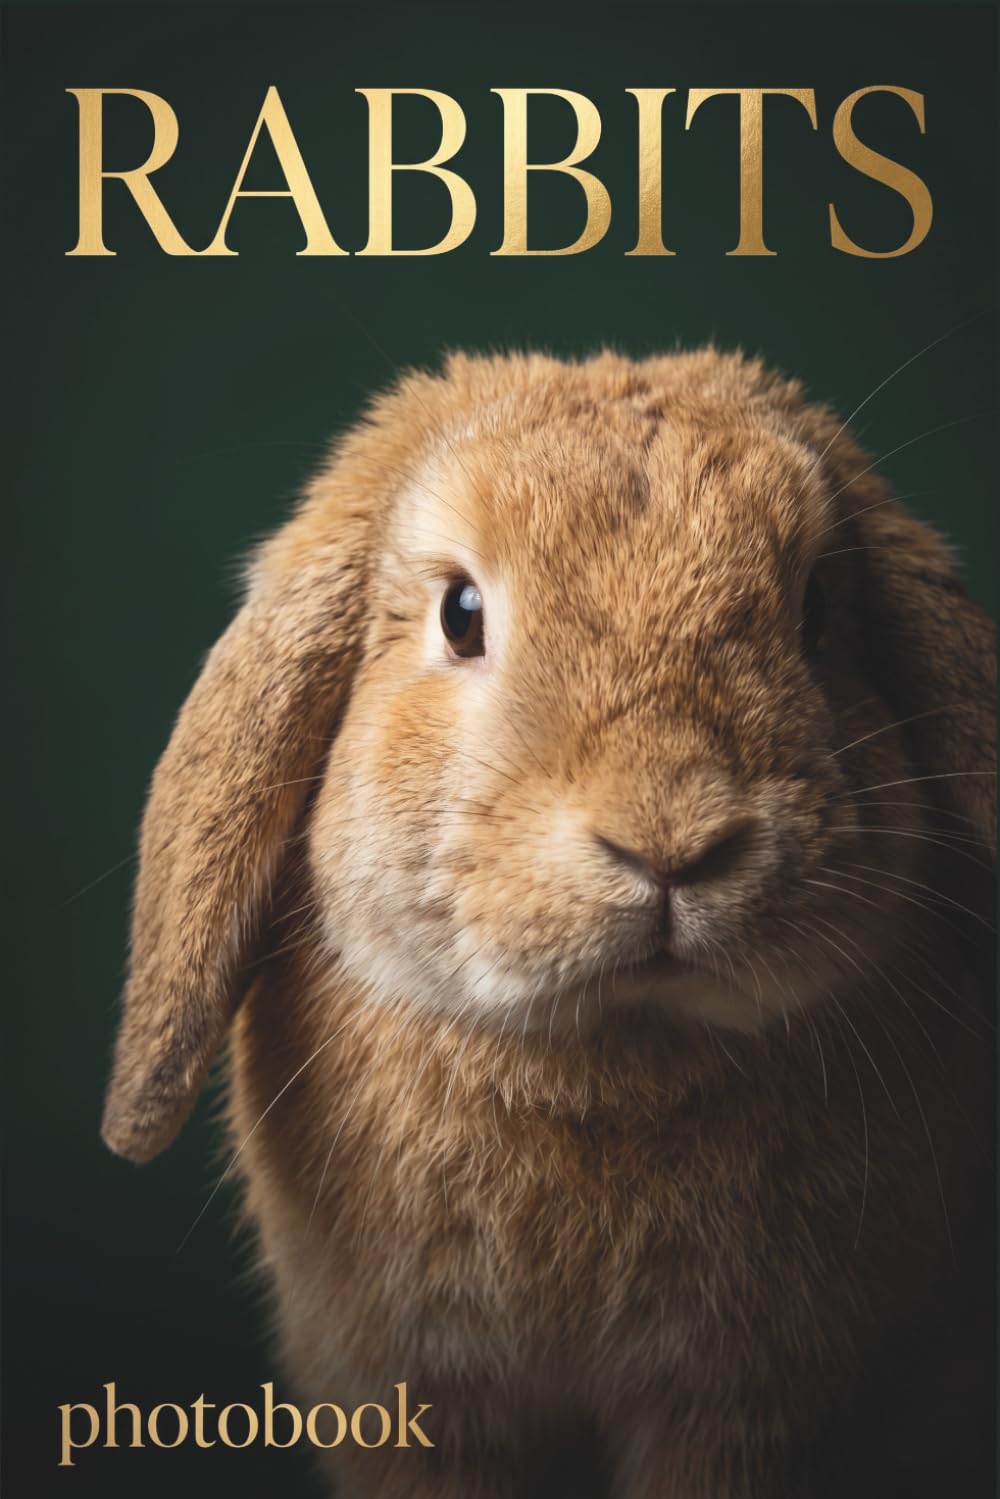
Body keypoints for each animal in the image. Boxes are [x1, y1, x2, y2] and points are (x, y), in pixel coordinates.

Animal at [102, 348, 995, 1499]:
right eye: (460, 614)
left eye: (817, 614)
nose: (669, 837)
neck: (612, 1051)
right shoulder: (412, 1398)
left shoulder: (746, 1405)